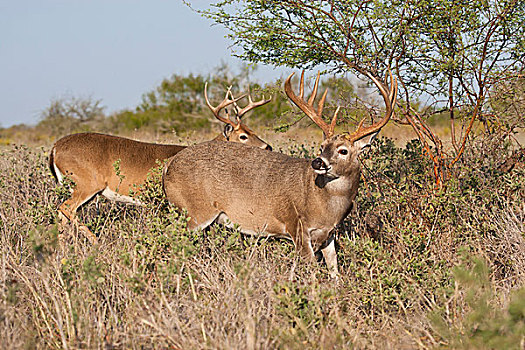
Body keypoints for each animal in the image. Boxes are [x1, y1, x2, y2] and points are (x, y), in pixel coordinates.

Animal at [50, 85, 270, 243]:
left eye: (251, 130)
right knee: (66, 208)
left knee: (63, 213)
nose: (267, 146)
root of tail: (55, 148)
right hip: (87, 183)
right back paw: (95, 242)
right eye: (243, 136)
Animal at [162, 70, 396, 276]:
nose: (318, 161)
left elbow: (334, 270)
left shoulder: (329, 235)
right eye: (322, 146)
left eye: (343, 150)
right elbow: (311, 271)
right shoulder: (297, 226)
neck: (323, 203)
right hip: (194, 211)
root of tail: (168, 167)